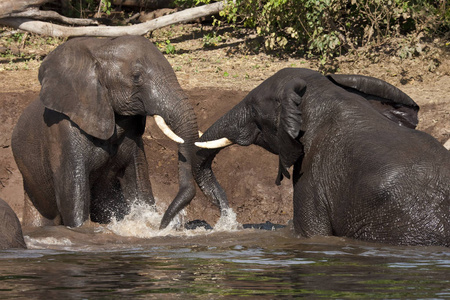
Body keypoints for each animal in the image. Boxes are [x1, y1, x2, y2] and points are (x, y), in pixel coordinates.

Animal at [12, 35, 198, 227]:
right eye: (136, 77)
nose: (163, 225)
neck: (100, 48)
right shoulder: (63, 134)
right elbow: (72, 204)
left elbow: (140, 185)